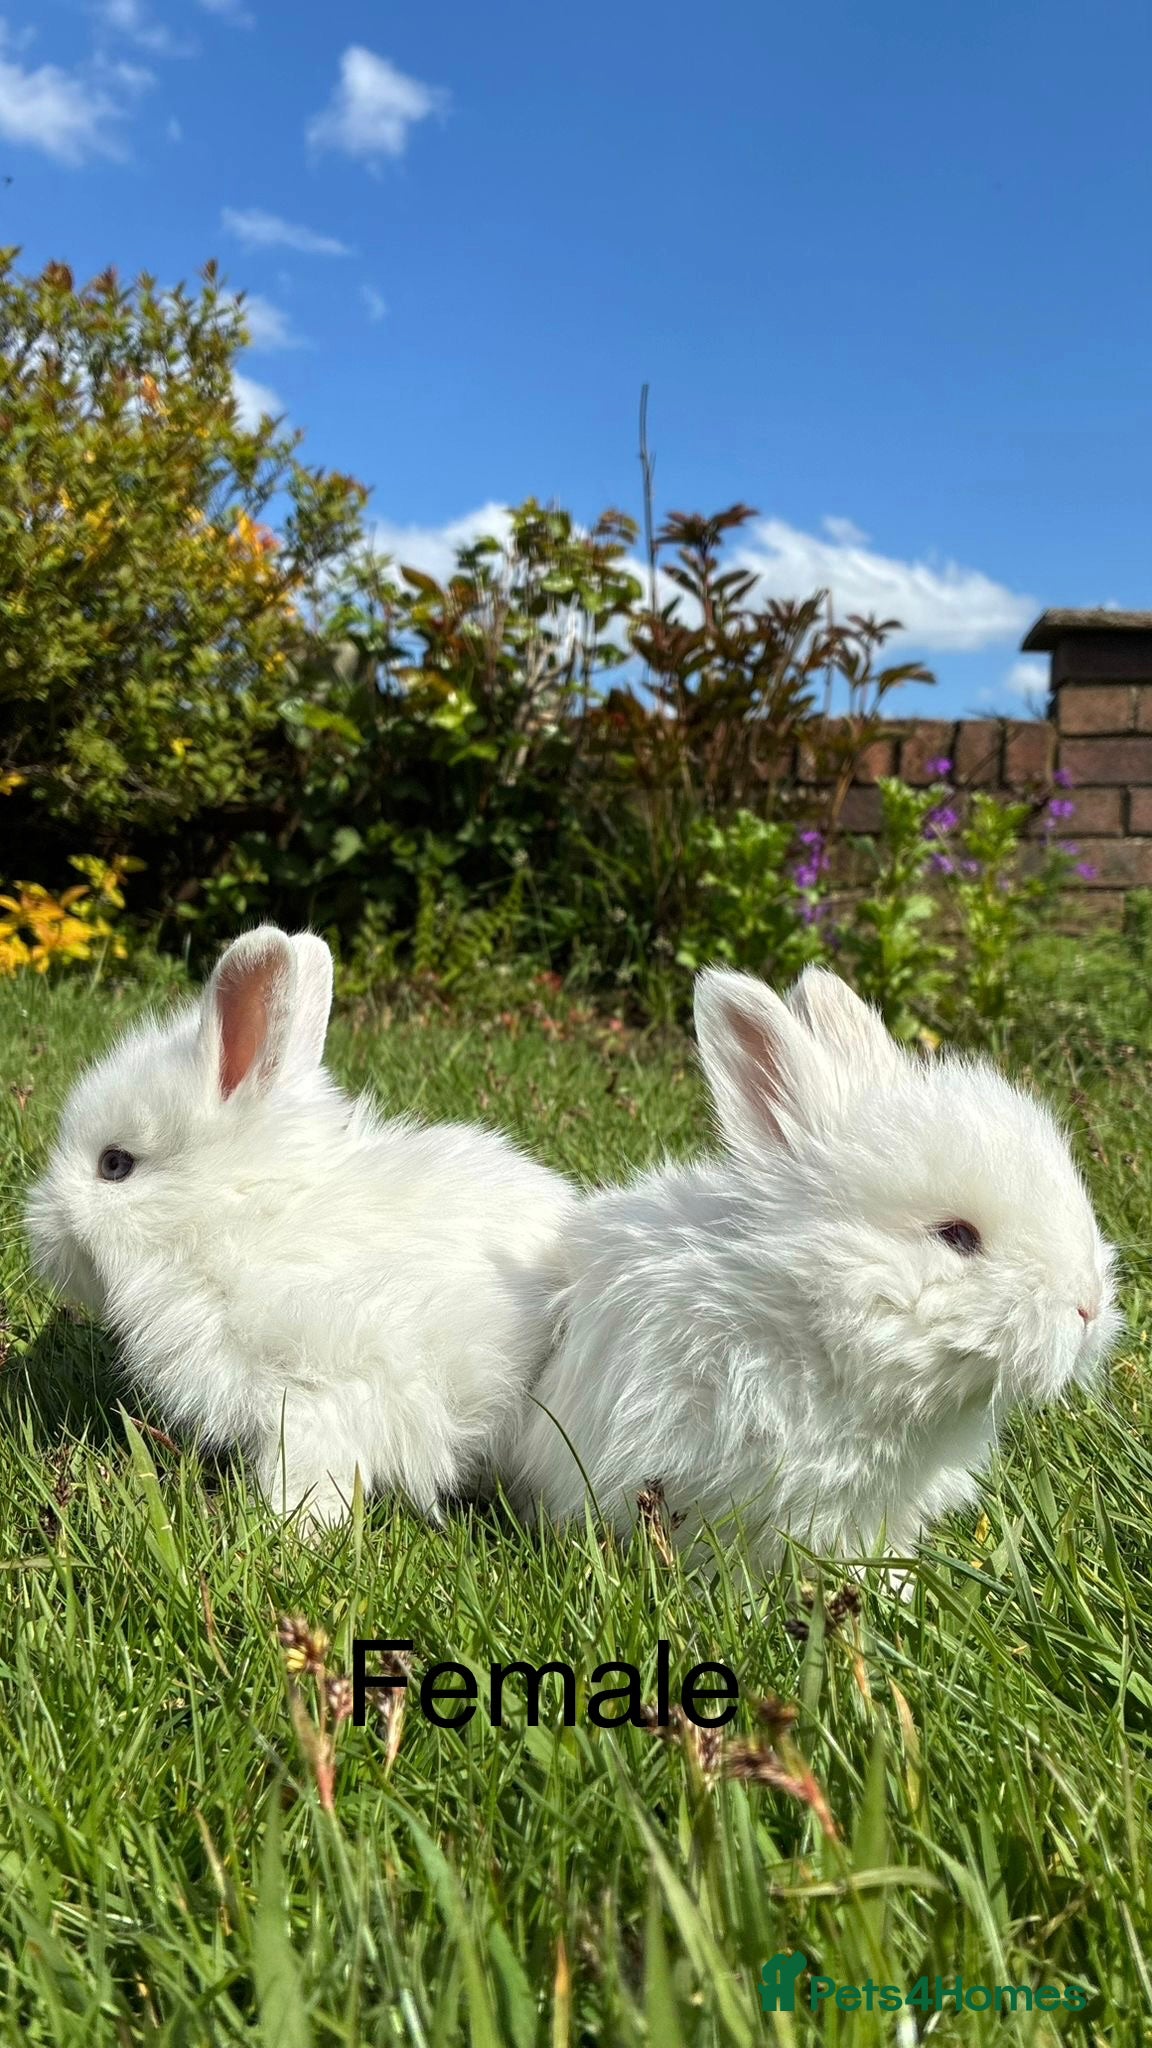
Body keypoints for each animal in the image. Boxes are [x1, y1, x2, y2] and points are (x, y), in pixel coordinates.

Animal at [25, 925, 578, 1526]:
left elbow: (309, 1468)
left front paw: (294, 1529)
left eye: (115, 1164)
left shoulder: (324, 1387)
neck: (233, 1221)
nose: (39, 1229)